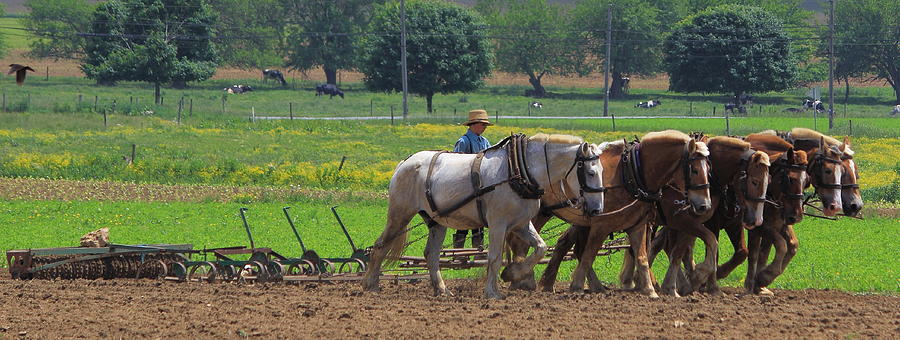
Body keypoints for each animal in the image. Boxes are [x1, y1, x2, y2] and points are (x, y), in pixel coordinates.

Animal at [360, 134, 604, 298]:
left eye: (603, 170)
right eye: (591, 172)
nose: (597, 210)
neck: (520, 171)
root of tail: (405, 163)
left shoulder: (521, 224)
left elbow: (541, 248)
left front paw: (513, 273)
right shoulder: (498, 224)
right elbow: (494, 257)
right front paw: (492, 292)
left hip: (436, 221)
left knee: (431, 254)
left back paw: (441, 289)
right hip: (400, 214)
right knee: (380, 246)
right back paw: (370, 285)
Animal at [506, 130, 712, 298]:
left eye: (709, 170)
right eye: (694, 170)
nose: (704, 205)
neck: (632, 174)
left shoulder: (638, 225)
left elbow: (642, 256)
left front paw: (649, 289)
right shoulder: (601, 225)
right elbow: (588, 255)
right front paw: (577, 286)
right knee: (521, 243)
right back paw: (523, 279)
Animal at [644, 135, 768, 294]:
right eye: (755, 181)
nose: (757, 220)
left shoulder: (700, 223)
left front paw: (696, 280)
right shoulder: (687, 221)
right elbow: (703, 250)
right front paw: (703, 281)